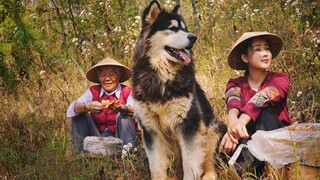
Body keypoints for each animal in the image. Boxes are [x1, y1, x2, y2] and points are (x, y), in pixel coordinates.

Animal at [131, 1, 221, 179]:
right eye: (172, 28)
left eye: (185, 29)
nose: (193, 37)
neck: (162, 79)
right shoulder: (151, 130)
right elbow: (156, 167)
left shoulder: (189, 125)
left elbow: (190, 163)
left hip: (213, 129)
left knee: (209, 161)